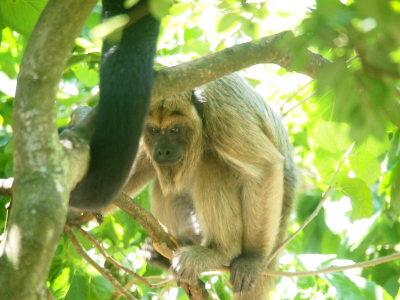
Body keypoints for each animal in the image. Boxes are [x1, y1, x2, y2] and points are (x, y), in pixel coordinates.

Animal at [124, 73, 296, 300]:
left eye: (175, 130)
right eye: (153, 130)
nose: (162, 151)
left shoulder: (224, 117)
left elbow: (265, 167)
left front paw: (252, 259)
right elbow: (143, 161)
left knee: (211, 161)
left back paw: (222, 252)